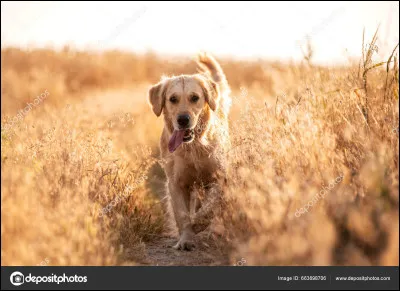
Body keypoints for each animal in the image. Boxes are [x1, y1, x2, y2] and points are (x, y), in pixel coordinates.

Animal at [148, 53, 231, 251]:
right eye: (173, 99)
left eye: (194, 98)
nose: (183, 119)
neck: (193, 147)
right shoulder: (176, 183)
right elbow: (183, 215)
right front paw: (186, 239)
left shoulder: (218, 177)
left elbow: (210, 206)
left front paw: (200, 224)